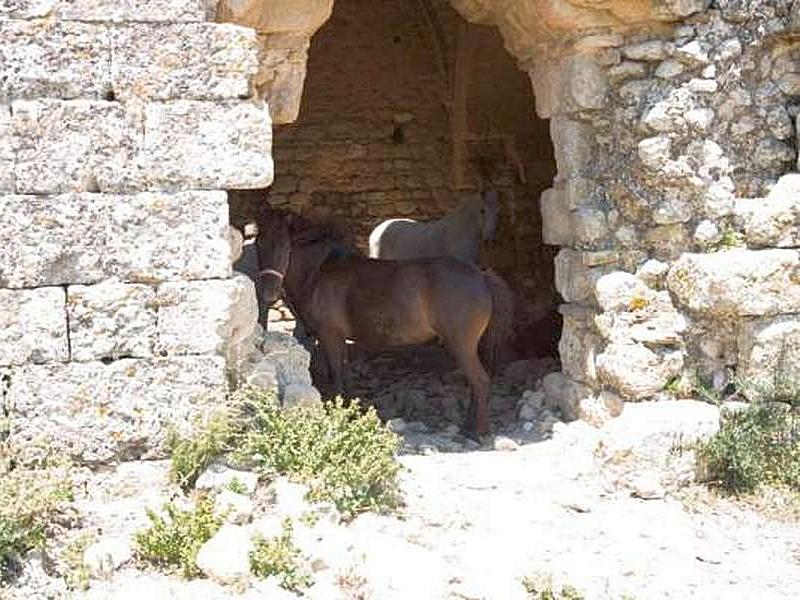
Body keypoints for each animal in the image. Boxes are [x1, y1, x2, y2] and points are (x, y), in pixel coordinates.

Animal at [256, 210, 512, 436]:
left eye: (284, 246)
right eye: (258, 244)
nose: (268, 292)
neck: (320, 272)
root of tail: (481, 276)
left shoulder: (330, 336)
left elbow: (336, 374)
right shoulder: (338, 339)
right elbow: (345, 374)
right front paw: (349, 411)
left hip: (461, 345)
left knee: (479, 381)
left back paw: (476, 432)